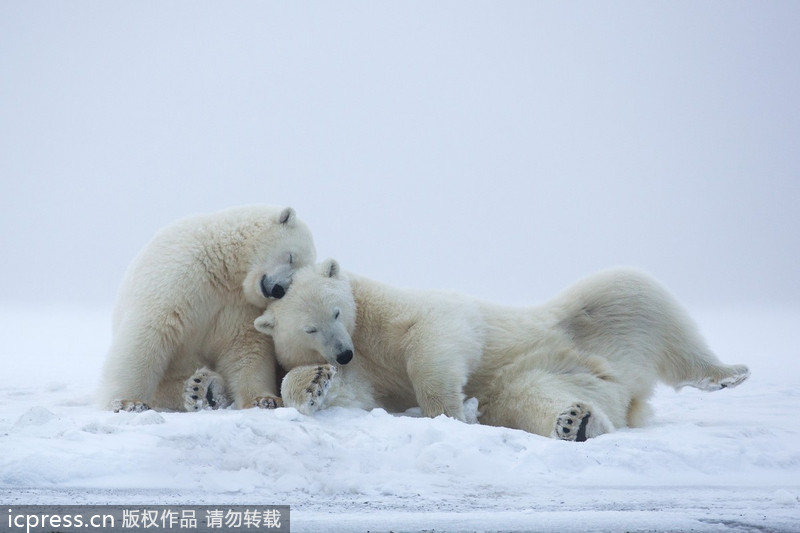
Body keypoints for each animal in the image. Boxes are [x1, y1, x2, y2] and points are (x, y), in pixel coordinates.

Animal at [96, 205, 316, 412]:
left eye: (294, 279)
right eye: (290, 257)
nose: (278, 289)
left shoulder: (241, 307)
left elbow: (246, 347)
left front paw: (263, 400)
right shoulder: (182, 276)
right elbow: (152, 332)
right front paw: (128, 402)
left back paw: (204, 388)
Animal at [253, 259, 750, 441]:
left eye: (337, 312)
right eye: (310, 327)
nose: (342, 355)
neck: (366, 336)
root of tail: (628, 387)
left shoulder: (398, 311)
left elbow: (438, 334)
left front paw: (447, 411)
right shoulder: (365, 366)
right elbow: (353, 392)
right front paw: (313, 384)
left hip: (589, 317)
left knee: (638, 294)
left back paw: (727, 373)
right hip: (551, 372)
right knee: (533, 398)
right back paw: (575, 421)